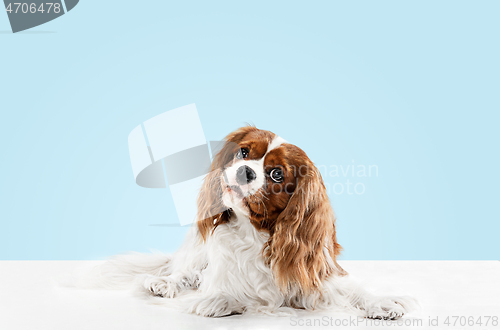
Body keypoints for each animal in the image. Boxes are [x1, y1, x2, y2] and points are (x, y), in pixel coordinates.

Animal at [89, 125, 414, 318]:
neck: (255, 234)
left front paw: (381, 301)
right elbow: (240, 293)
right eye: (243, 152)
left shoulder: (313, 275)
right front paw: (217, 300)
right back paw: (165, 282)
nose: (246, 170)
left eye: (277, 174)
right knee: (186, 271)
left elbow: (352, 289)